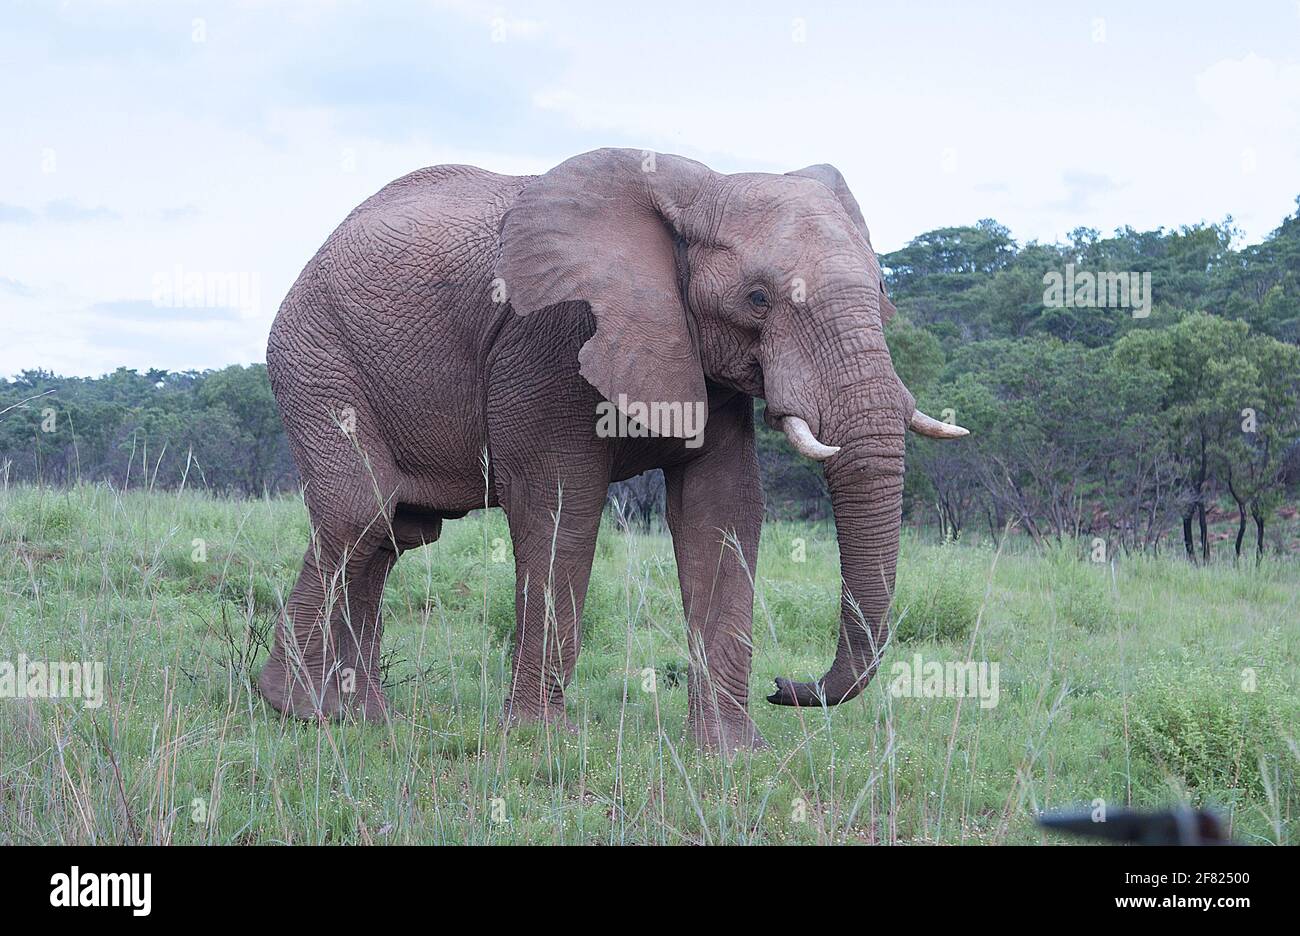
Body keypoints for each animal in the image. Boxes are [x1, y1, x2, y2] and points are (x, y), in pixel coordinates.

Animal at [256, 150, 967, 759]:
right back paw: (303, 709)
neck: (695, 188)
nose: (785, 687)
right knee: (363, 514)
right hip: (315, 357)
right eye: (758, 298)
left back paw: (363, 719)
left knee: (394, 535)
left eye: (881, 289)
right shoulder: (552, 336)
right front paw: (542, 741)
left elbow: (721, 512)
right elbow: (560, 506)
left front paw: (733, 756)